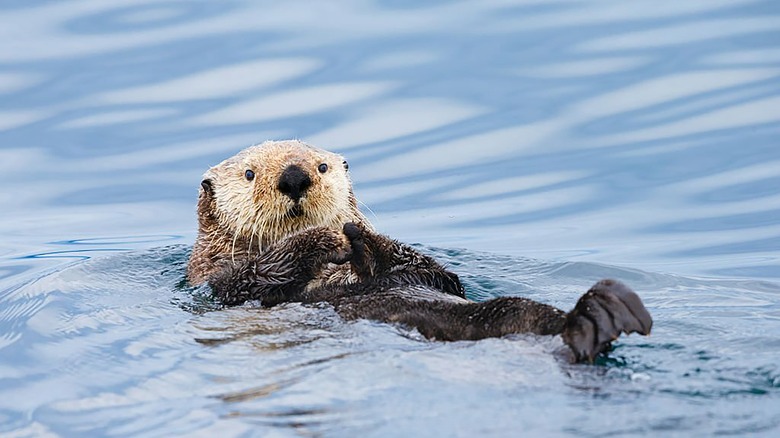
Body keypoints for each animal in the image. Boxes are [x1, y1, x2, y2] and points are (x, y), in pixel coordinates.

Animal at [190, 140, 652, 363]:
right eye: (250, 174)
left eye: (321, 166)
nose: (294, 176)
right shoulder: (219, 283)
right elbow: (258, 275)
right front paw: (327, 239)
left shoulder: (433, 275)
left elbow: (435, 273)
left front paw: (360, 237)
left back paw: (604, 312)